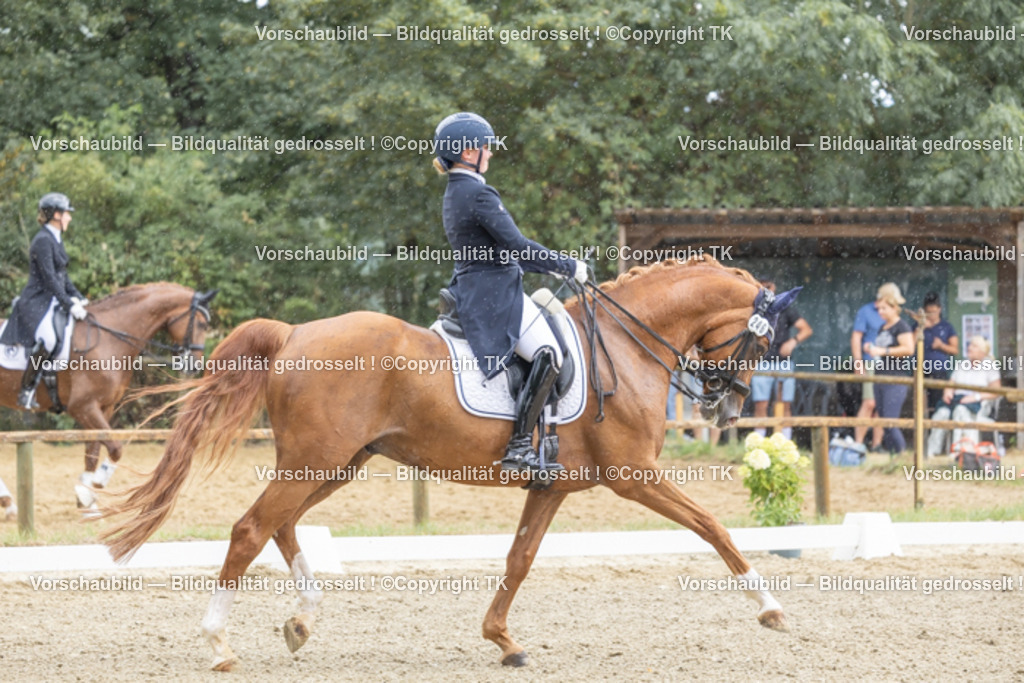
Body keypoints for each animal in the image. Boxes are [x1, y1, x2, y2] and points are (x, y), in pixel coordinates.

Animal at [0, 282, 216, 509]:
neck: (109, 338)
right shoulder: (83, 407)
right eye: (201, 324)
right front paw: (92, 489)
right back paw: (9, 504)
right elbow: (116, 448)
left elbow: (93, 452)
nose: (194, 366)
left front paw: (86, 500)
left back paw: (8, 503)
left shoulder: (104, 407)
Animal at [102, 256, 795, 671]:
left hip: (336, 464)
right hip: (315, 461)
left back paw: (301, 620)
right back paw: (220, 645)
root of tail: (294, 333)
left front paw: (504, 641)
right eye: (760, 342)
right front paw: (770, 608)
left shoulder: (552, 488)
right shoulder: (634, 477)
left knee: (281, 524)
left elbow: (519, 558)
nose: (728, 409)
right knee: (250, 529)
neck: (624, 346)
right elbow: (714, 527)